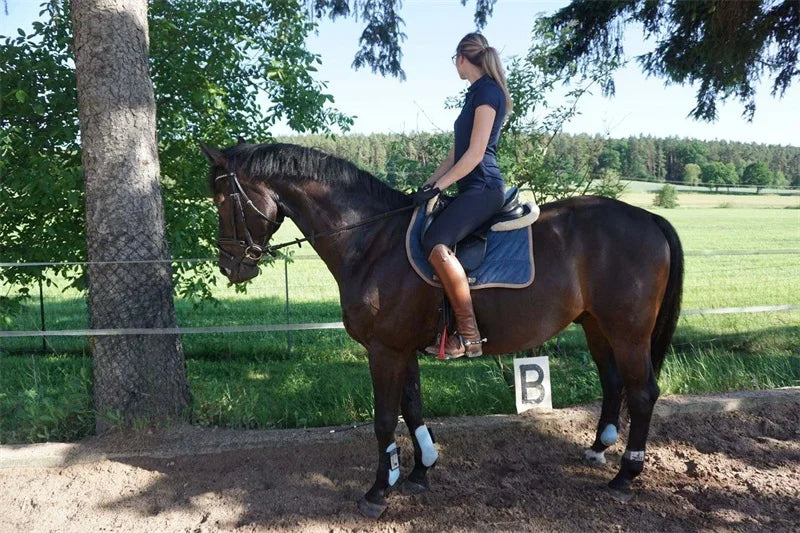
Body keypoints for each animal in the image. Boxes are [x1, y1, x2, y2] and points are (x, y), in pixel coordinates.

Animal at [200, 141, 684, 517]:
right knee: (613, 382)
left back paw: (626, 475)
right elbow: (412, 407)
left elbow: (384, 419)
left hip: (628, 331)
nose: (230, 266)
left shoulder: (385, 349)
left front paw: (379, 491)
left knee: (643, 392)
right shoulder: (401, 348)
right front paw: (420, 469)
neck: (372, 242)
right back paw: (599, 449)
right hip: (598, 326)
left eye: (223, 201)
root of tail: (647, 218)